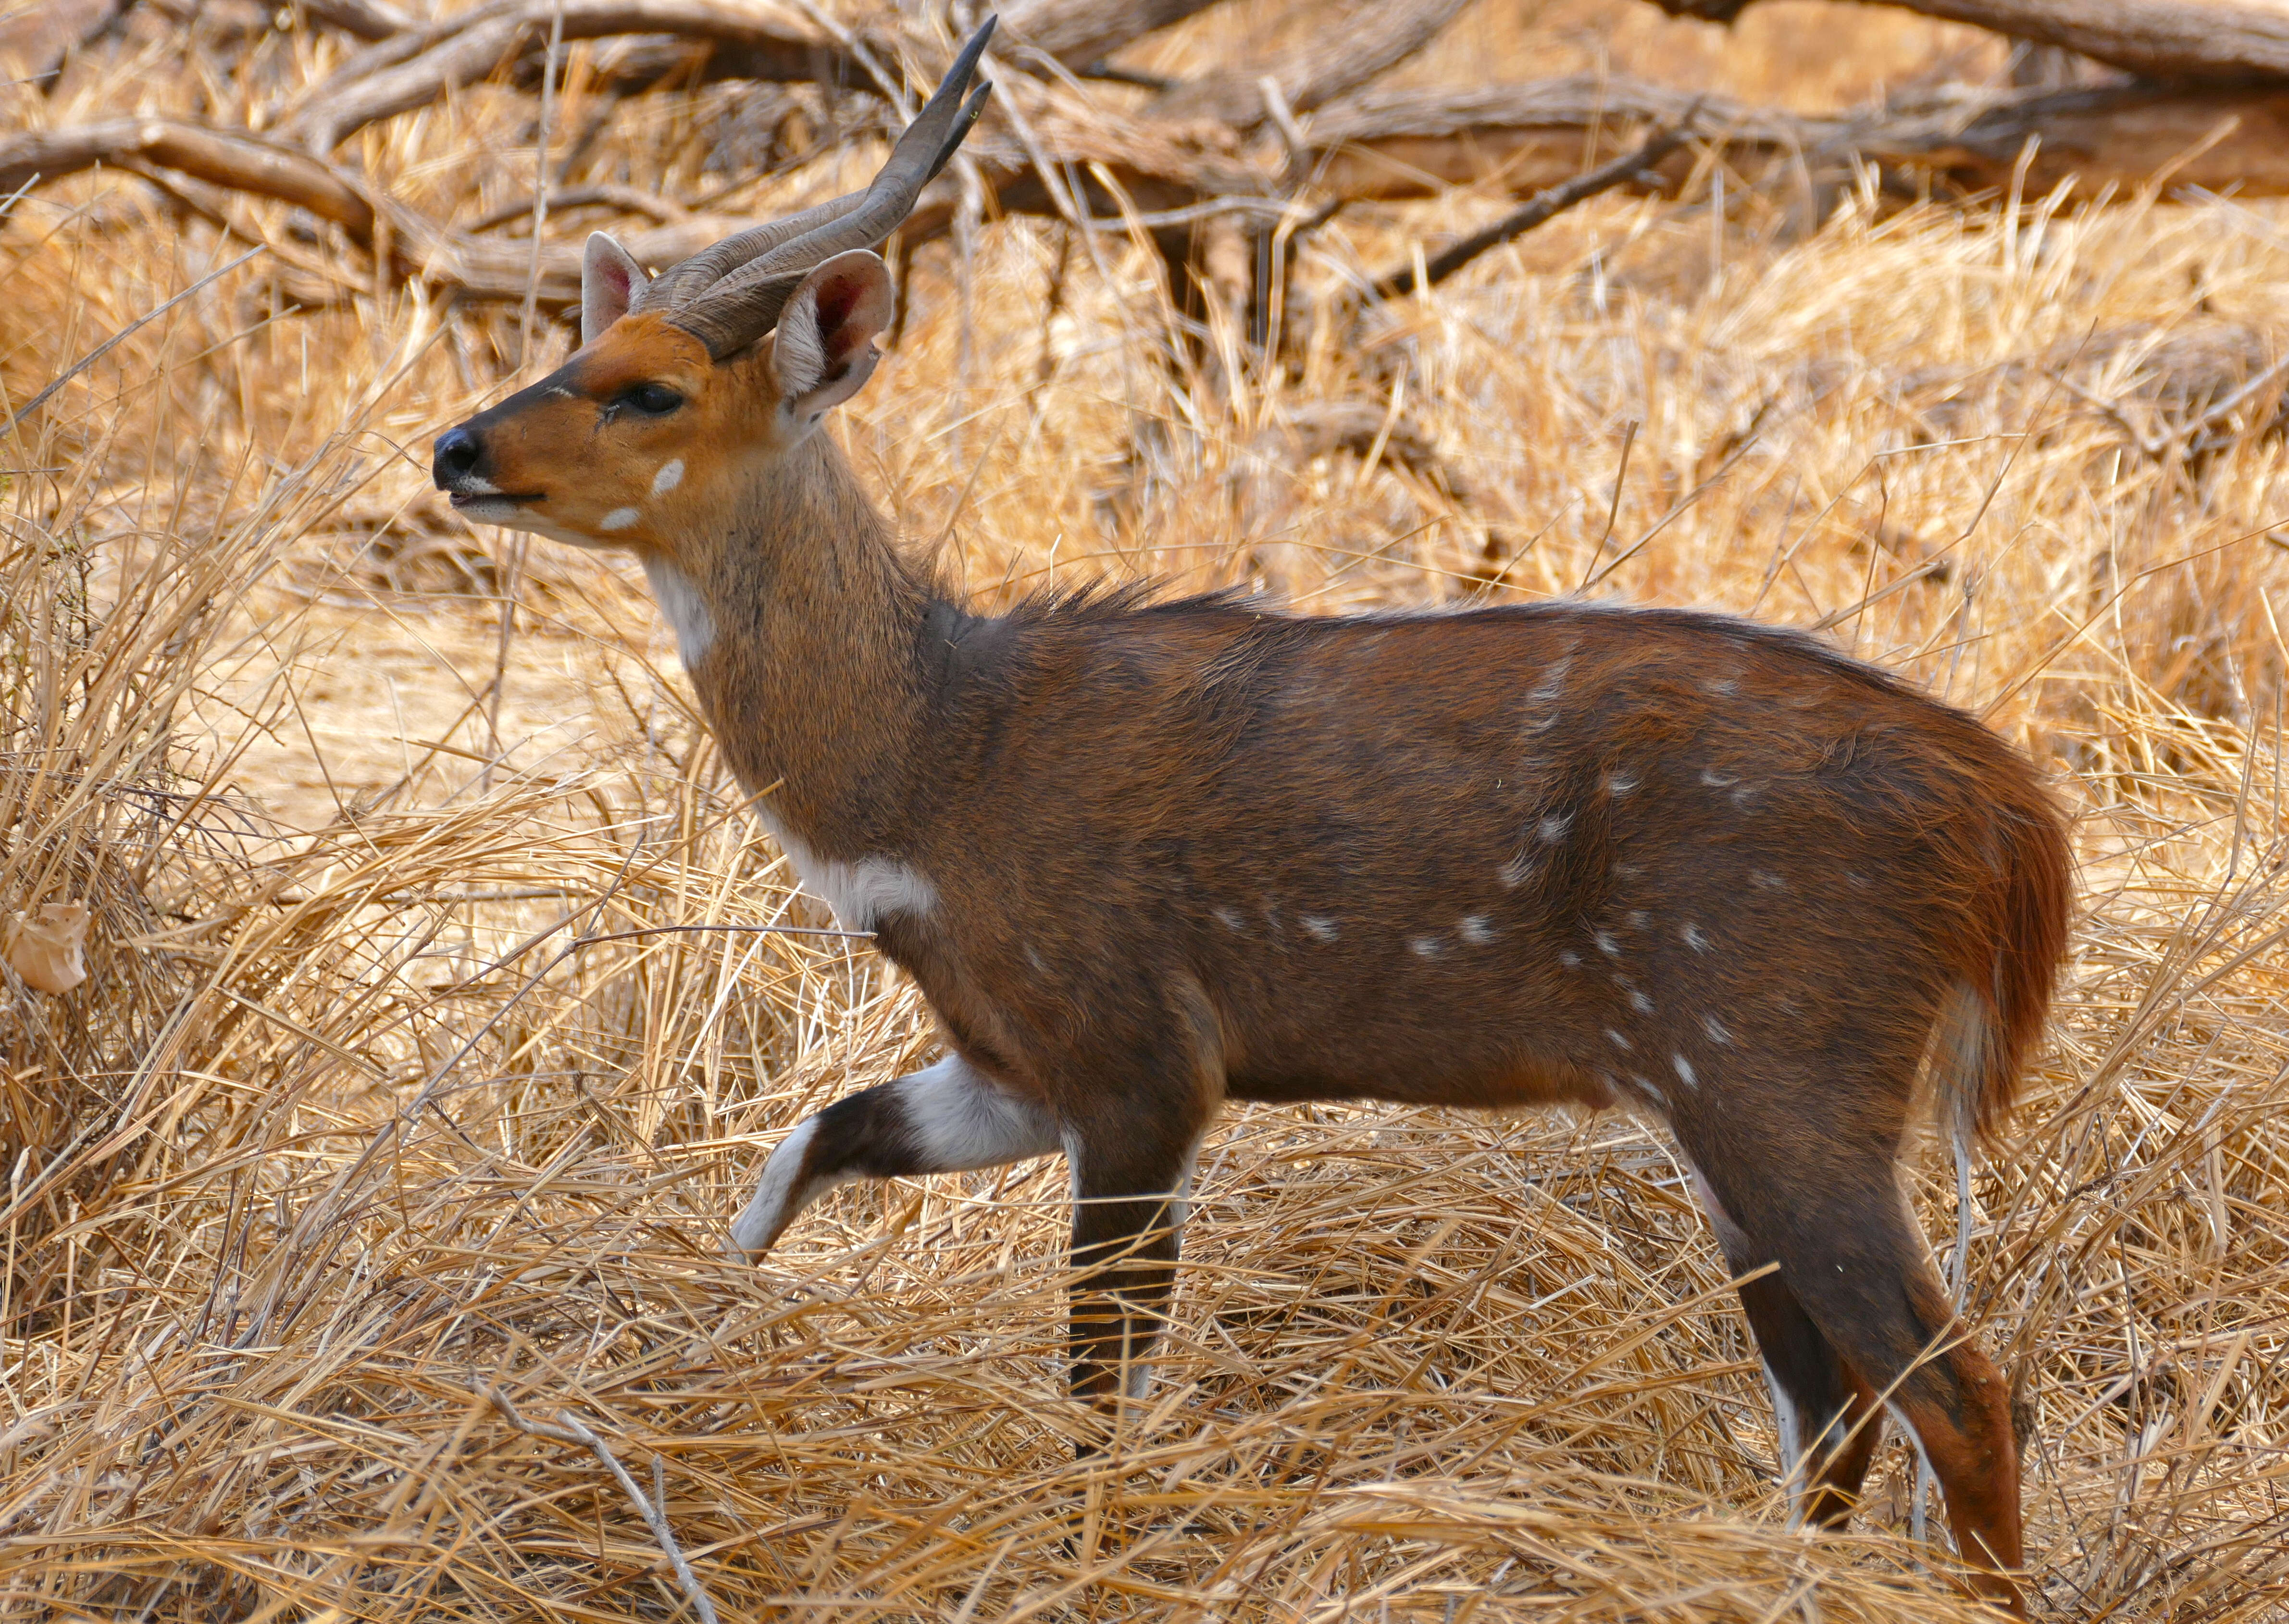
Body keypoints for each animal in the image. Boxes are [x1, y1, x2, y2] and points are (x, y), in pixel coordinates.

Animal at [430, 25, 2078, 1619]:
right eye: (577, 346)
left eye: (651, 389)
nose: (456, 449)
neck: (945, 748)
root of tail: (2007, 812)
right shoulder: (1013, 1068)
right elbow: (810, 1145)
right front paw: (688, 1333)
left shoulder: (1144, 1073)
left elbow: (1098, 1386)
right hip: (1726, 1129)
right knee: (1832, 1407)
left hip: (1781, 1098)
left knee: (1957, 1393)